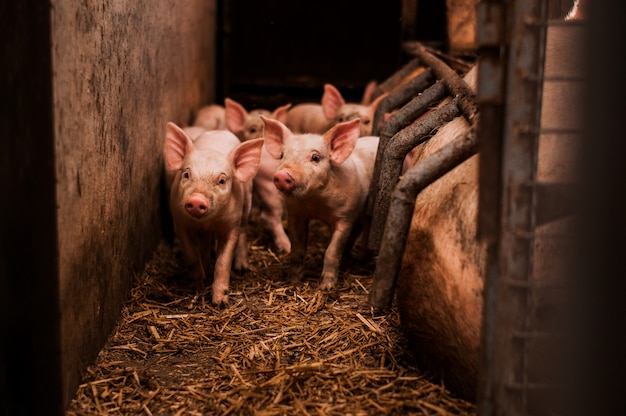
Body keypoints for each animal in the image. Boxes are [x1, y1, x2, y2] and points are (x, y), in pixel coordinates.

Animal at [162, 122, 262, 304]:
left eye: (222, 180)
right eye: (186, 174)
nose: (197, 200)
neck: (207, 221)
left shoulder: (231, 224)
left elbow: (223, 262)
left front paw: (220, 302)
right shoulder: (181, 222)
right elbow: (191, 254)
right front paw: (197, 286)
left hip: (248, 201)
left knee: (244, 230)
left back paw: (242, 267)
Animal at [260, 115, 378, 288]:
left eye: (315, 157)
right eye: (282, 155)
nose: (282, 175)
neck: (315, 203)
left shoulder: (345, 217)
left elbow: (332, 252)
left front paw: (326, 287)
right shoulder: (296, 215)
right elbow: (297, 251)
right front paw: (293, 281)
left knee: (368, 228)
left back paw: (358, 259)